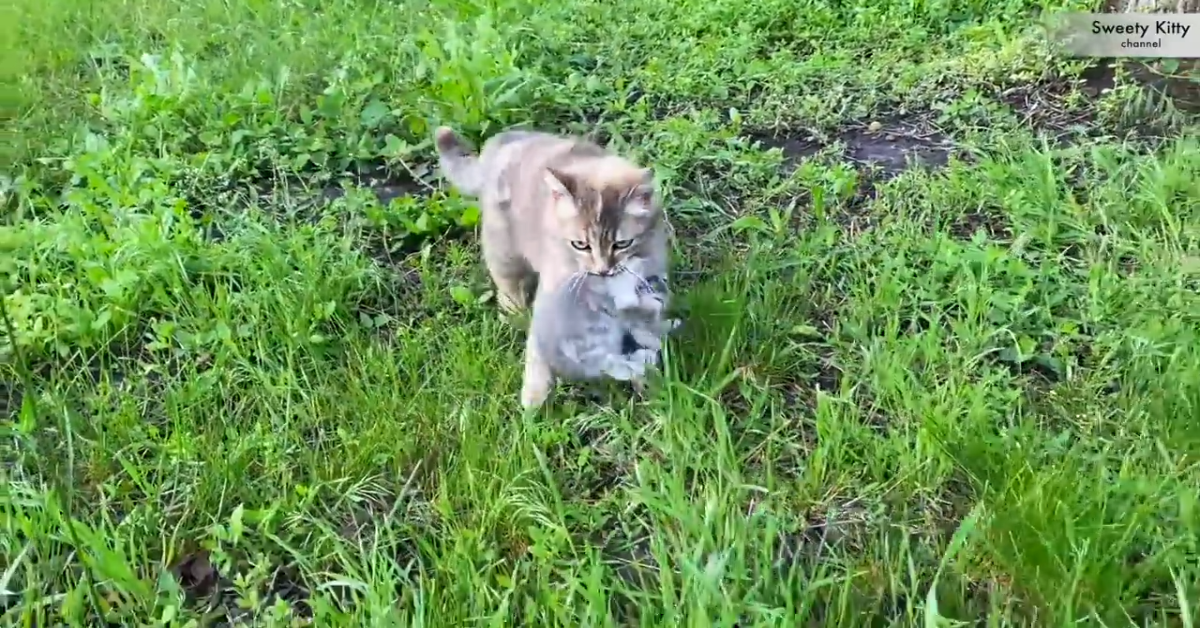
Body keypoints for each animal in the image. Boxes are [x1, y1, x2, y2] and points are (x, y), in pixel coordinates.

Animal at [432, 126, 676, 408]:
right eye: (580, 245)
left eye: (622, 243)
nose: (602, 270)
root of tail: (500, 143)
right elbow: (540, 347)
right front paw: (533, 399)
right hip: (503, 251)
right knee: (508, 288)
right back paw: (515, 314)